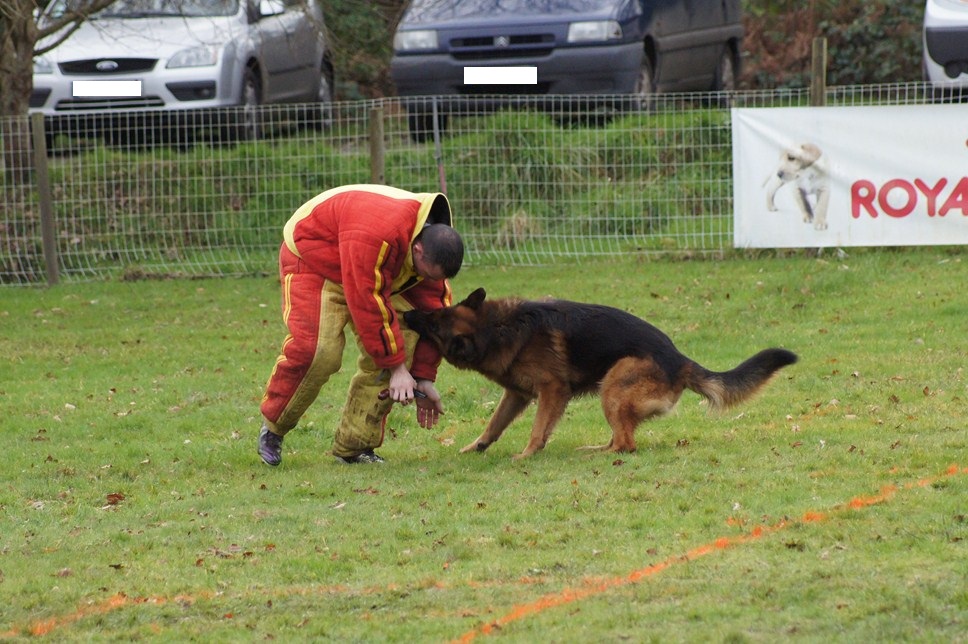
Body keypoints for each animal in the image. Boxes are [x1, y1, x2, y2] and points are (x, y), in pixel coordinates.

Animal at [404, 290, 796, 460]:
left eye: (433, 322)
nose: (406, 314)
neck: (495, 328)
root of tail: (680, 359)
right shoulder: (517, 394)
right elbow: (494, 424)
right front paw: (477, 447)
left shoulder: (552, 390)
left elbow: (537, 430)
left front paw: (527, 455)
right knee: (620, 438)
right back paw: (594, 448)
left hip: (614, 383)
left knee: (626, 444)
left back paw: (599, 454)